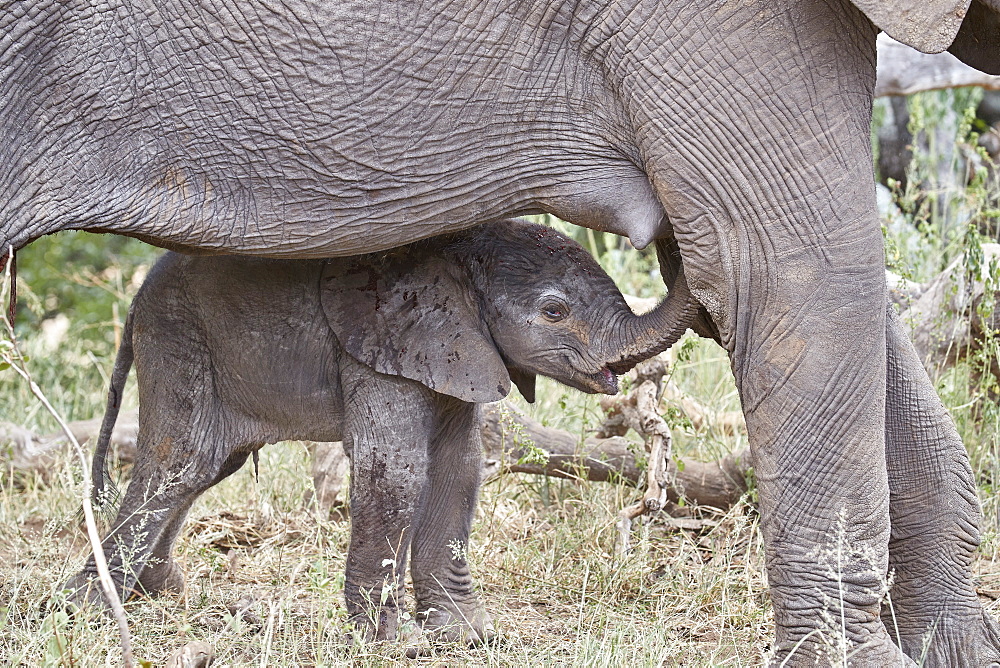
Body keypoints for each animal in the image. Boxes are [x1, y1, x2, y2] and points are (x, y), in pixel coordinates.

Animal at [64, 219, 696, 648]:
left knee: (210, 467)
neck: (456, 258)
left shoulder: (455, 352)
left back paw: (160, 593)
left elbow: (459, 468)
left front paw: (467, 636)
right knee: (182, 461)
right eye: (554, 312)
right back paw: (89, 609)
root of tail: (134, 304)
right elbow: (397, 469)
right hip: (178, 338)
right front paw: (396, 643)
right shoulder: (380, 346)